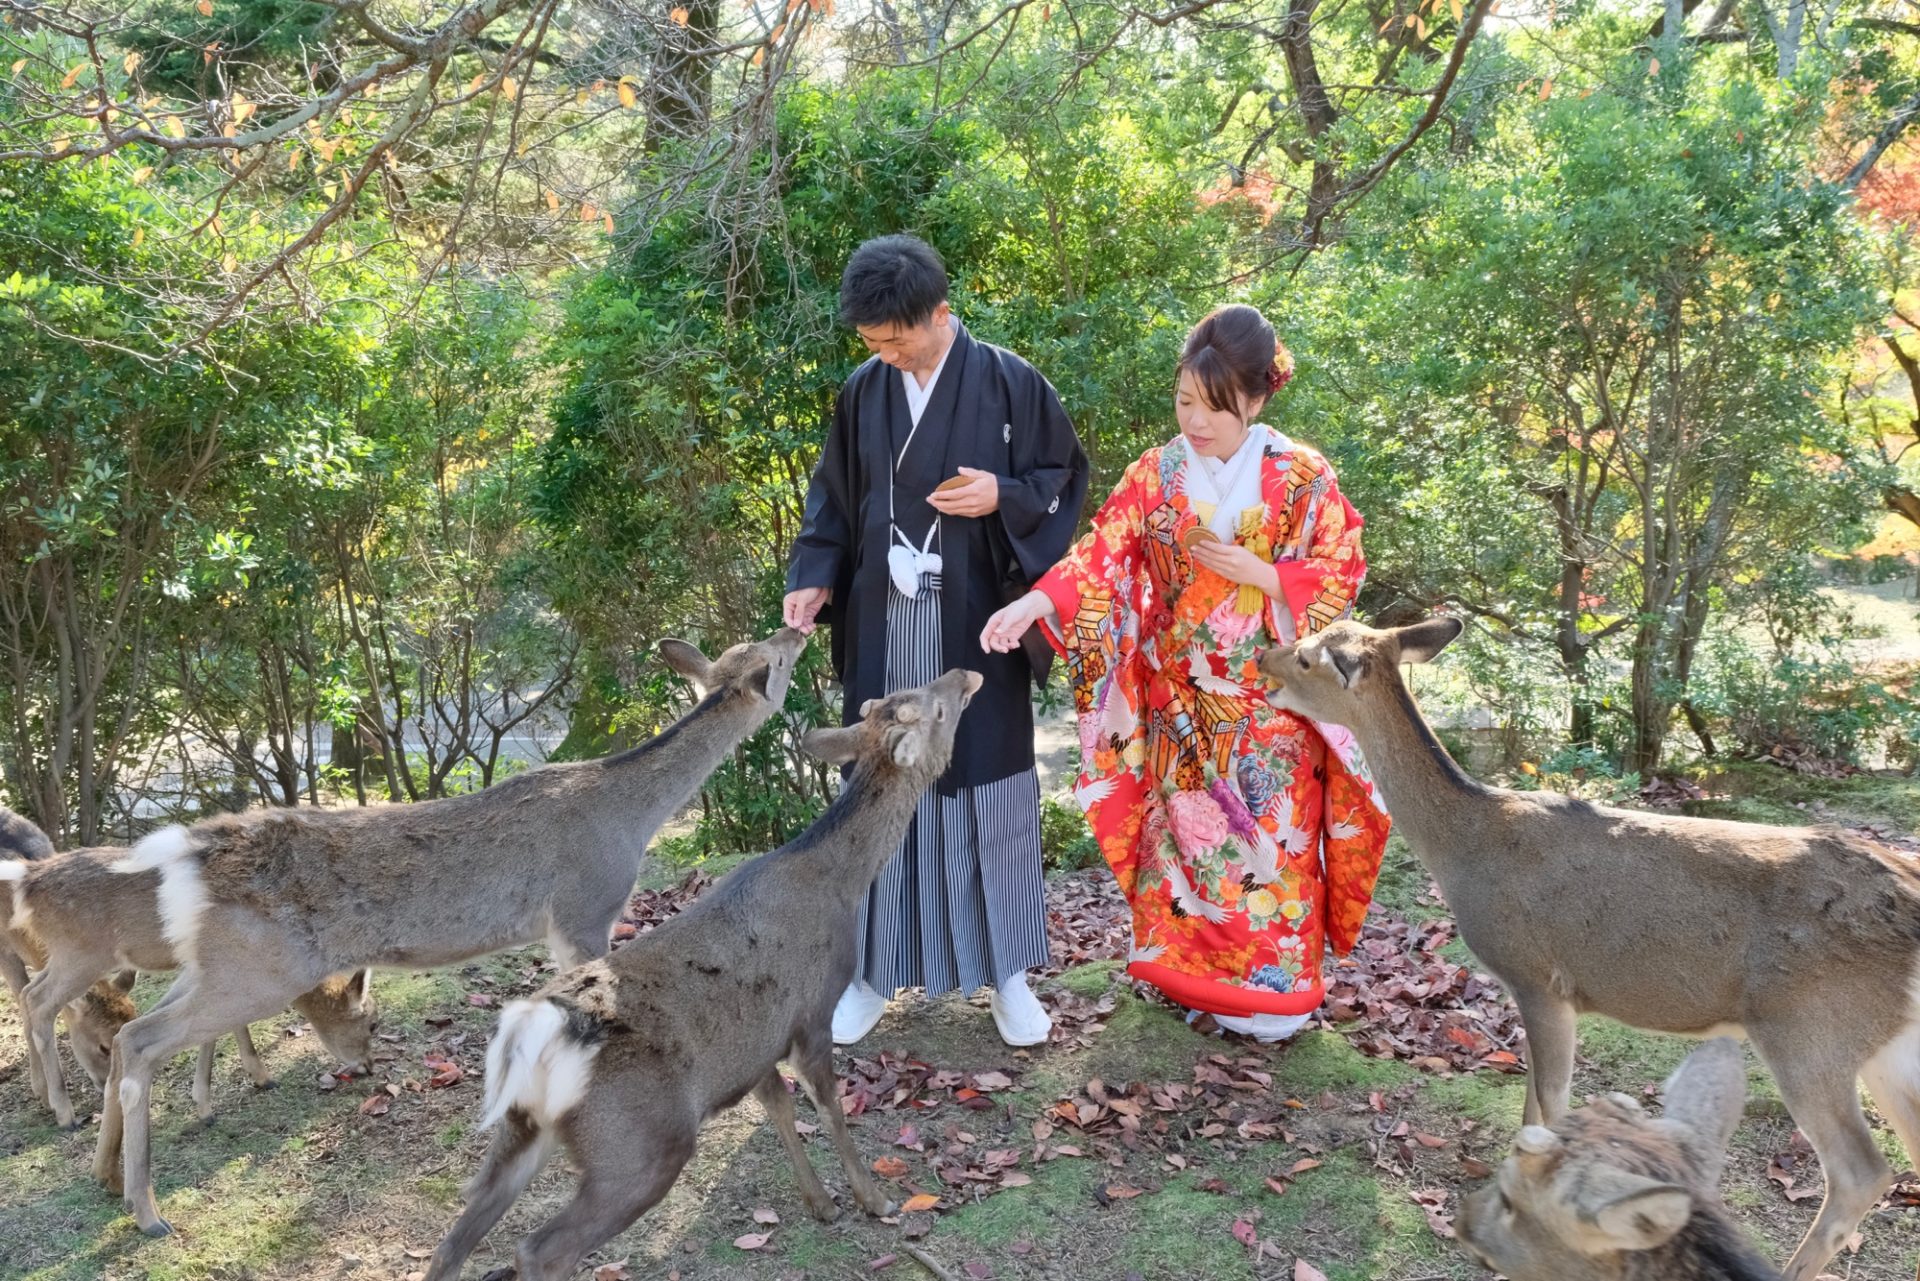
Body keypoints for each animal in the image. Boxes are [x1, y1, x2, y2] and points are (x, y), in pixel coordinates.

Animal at [3, 845, 378, 1129]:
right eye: (373, 1022)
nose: (368, 1067)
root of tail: (28, 880)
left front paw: (257, 1077)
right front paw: (207, 1106)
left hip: (67, 956)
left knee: (28, 994)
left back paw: (45, 1095)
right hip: (82, 955)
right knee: (38, 1001)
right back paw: (65, 1113)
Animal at [91, 629, 802, 1244]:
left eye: (757, 645)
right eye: (777, 660)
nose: (797, 630)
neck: (633, 816)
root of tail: (184, 857)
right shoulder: (585, 908)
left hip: (212, 962)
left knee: (132, 1036)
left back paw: (107, 1176)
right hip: (260, 970)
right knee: (140, 1038)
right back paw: (148, 1213)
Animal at [426, 672, 983, 1281]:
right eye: (935, 709)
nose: (966, 675)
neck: (842, 883)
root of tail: (533, 1033)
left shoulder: (753, 1043)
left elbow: (780, 1106)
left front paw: (821, 1202)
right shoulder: (812, 1012)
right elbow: (829, 1108)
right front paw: (873, 1199)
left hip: (522, 1126)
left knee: (453, 1239)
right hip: (639, 1146)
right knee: (539, 1248)